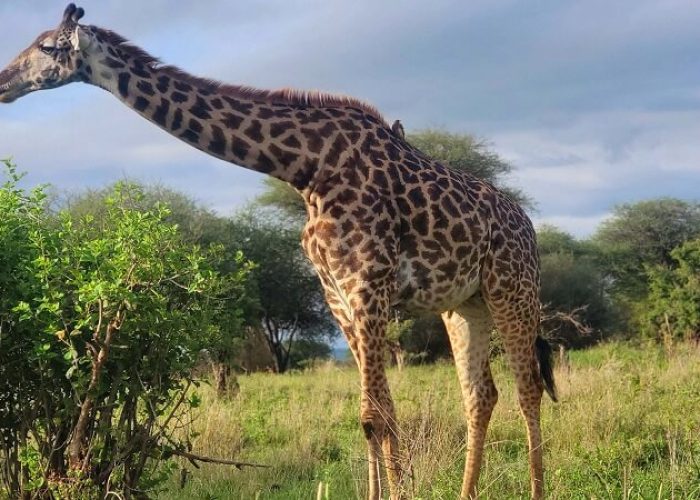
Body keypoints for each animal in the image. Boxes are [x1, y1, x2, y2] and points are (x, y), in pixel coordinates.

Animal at [0, 5, 557, 499]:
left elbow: (378, 414)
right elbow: (374, 416)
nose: (4, 81)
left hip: (513, 290)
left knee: (528, 388)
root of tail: (528, 225)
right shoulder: (337, 295)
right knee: (481, 395)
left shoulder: (368, 285)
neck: (305, 169)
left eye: (47, 46)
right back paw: (468, 492)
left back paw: (536, 491)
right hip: (464, 305)